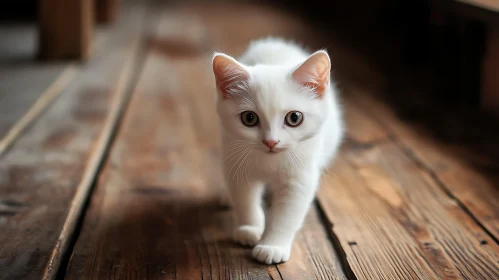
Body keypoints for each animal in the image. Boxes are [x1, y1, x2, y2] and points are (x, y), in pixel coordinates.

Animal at [211, 37, 344, 264]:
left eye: (294, 118)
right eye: (249, 118)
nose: (271, 142)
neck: (270, 162)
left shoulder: (300, 177)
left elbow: (287, 215)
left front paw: (272, 245)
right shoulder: (237, 162)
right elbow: (244, 199)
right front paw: (250, 228)